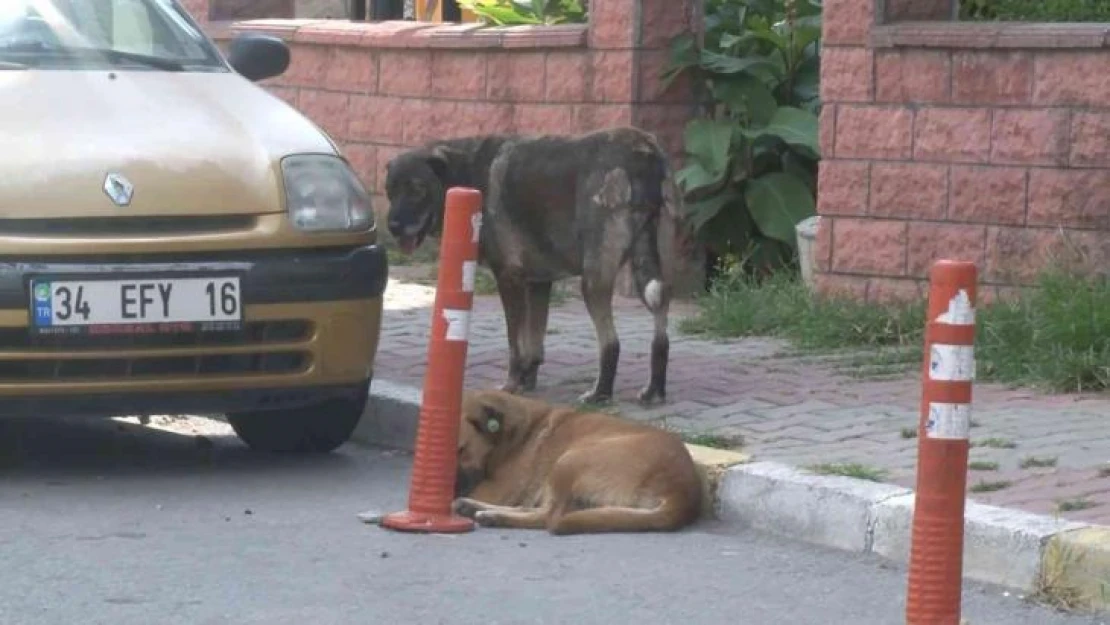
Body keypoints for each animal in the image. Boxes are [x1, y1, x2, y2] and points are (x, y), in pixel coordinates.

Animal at [386, 127, 679, 406]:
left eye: (417, 189)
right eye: (390, 190)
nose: (393, 227)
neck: (465, 173)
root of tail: (644, 148)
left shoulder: (509, 278)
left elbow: (515, 343)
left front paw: (512, 385)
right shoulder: (538, 283)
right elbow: (534, 342)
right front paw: (527, 380)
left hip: (593, 280)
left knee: (611, 342)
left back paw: (600, 393)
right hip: (652, 271)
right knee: (661, 334)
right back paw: (654, 390)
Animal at [450, 390, 701, 532]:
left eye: (461, 450)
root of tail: (681, 491)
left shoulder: (497, 489)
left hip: (569, 459)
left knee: (550, 518)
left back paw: (493, 516)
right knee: (537, 509)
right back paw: (475, 508)